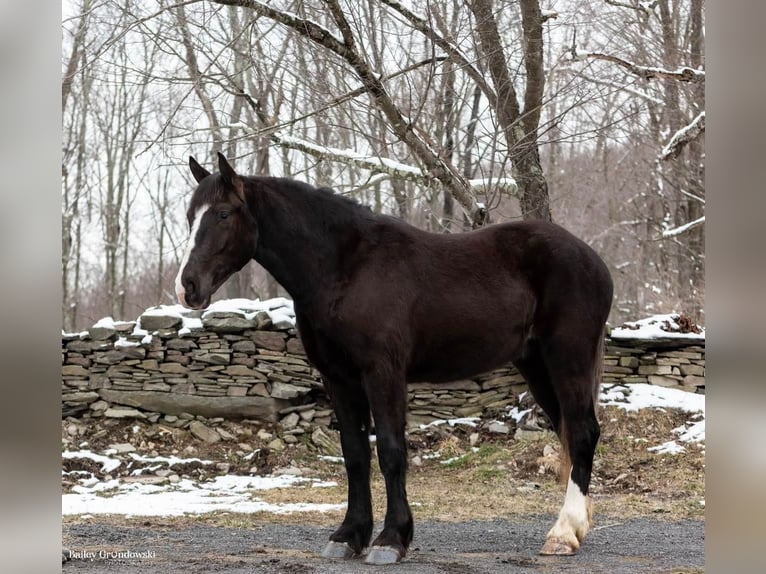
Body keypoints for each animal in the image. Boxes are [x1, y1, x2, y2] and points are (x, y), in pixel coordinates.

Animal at [177, 154, 616, 568]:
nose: (188, 287)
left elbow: (390, 451)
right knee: (568, 432)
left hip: (568, 358)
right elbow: (355, 455)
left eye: (222, 213)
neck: (344, 268)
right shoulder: (339, 378)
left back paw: (562, 535)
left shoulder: (382, 373)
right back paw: (577, 526)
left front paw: (391, 540)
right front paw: (348, 536)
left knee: (581, 434)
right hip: (536, 365)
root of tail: (592, 259)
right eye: (189, 216)